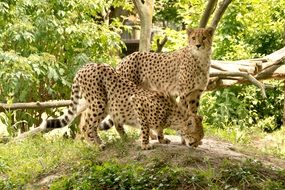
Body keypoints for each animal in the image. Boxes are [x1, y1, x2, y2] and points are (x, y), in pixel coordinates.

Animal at [42, 63, 203, 149]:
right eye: (196, 135)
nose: (196, 145)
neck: (172, 114)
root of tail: (86, 65)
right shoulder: (138, 103)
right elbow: (145, 127)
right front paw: (145, 145)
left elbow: (158, 129)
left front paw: (162, 139)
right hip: (99, 102)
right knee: (87, 125)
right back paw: (95, 145)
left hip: (104, 104)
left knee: (88, 121)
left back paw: (98, 141)